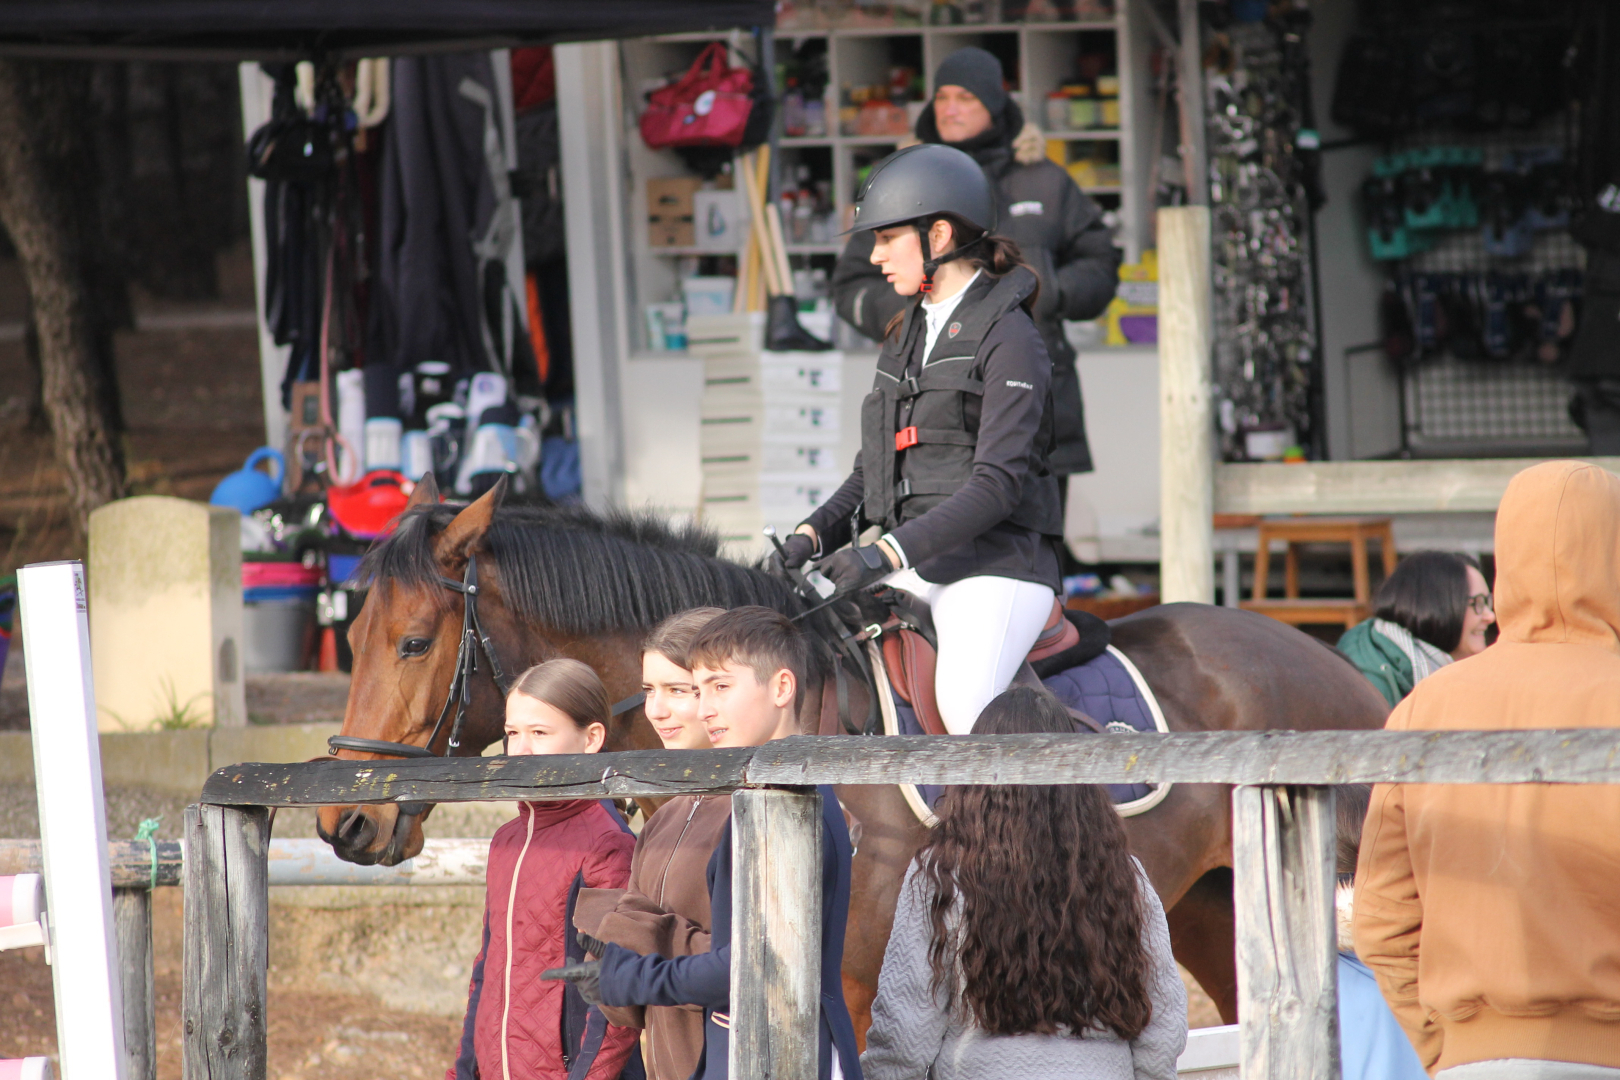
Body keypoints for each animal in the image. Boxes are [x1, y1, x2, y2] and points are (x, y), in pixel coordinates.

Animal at [322, 479, 1386, 1029]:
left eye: (412, 642)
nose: (346, 819)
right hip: (1214, 907)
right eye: (354, 635)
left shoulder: (854, 982)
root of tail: (1334, 660)